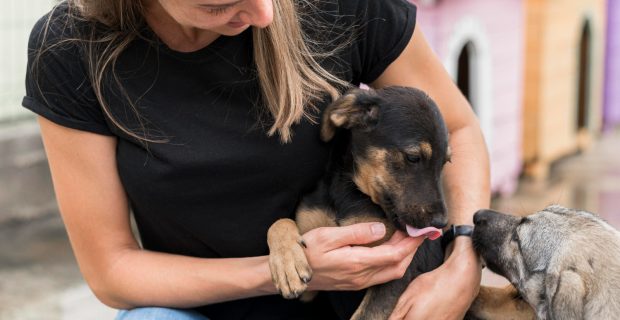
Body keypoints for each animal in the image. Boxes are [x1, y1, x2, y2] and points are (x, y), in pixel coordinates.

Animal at [266, 86, 450, 318]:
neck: (352, 193)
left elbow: (367, 314)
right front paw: (287, 264)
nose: (441, 223)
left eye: (445, 162)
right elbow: (280, 222)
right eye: (413, 157)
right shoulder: (311, 288)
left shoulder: (401, 269)